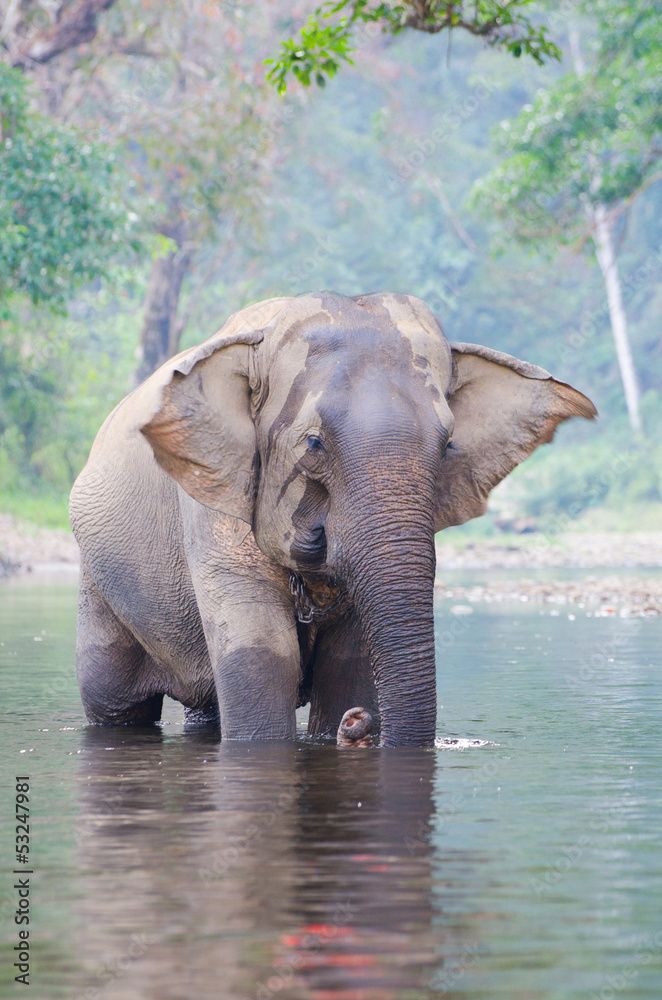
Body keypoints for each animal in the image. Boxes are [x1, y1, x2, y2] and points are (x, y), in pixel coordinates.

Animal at [69, 291, 596, 746]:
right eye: (314, 443)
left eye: (448, 445)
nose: (360, 725)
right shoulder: (212, 509)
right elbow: (266, 664)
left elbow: (348, 670)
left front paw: (339, 723)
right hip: (98, 577)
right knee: (113, 700)